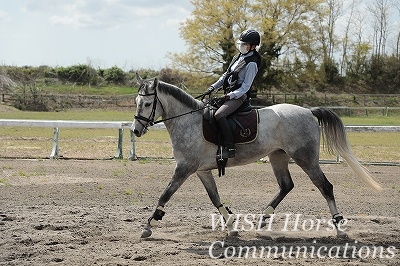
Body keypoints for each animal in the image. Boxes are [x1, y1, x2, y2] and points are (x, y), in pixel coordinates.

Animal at [130, 74, 382, 239]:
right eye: (136, 102)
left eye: (148, 103)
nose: (135, 130)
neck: (188, 121)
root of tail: (308, 112)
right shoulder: (201, 170)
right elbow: (215, 198)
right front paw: (232, 226)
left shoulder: (184, 168)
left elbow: (165, 194)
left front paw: (148, 225)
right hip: (278, 157)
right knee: (286, 185)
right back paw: (263, 219)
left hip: (306, 158)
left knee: (325, 187)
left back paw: (340, 229)